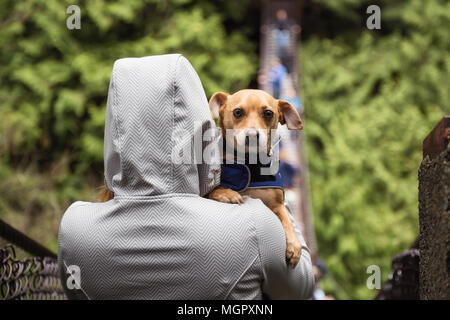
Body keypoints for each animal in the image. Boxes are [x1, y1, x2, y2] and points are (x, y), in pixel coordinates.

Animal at [209, 89, 304, 268]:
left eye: (268, 113)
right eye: (237, 112)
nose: (252, 135)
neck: (249, 163)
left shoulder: (277, 204)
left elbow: (287, 219)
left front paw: (294, 244)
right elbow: (213, 189)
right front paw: (227, 193)